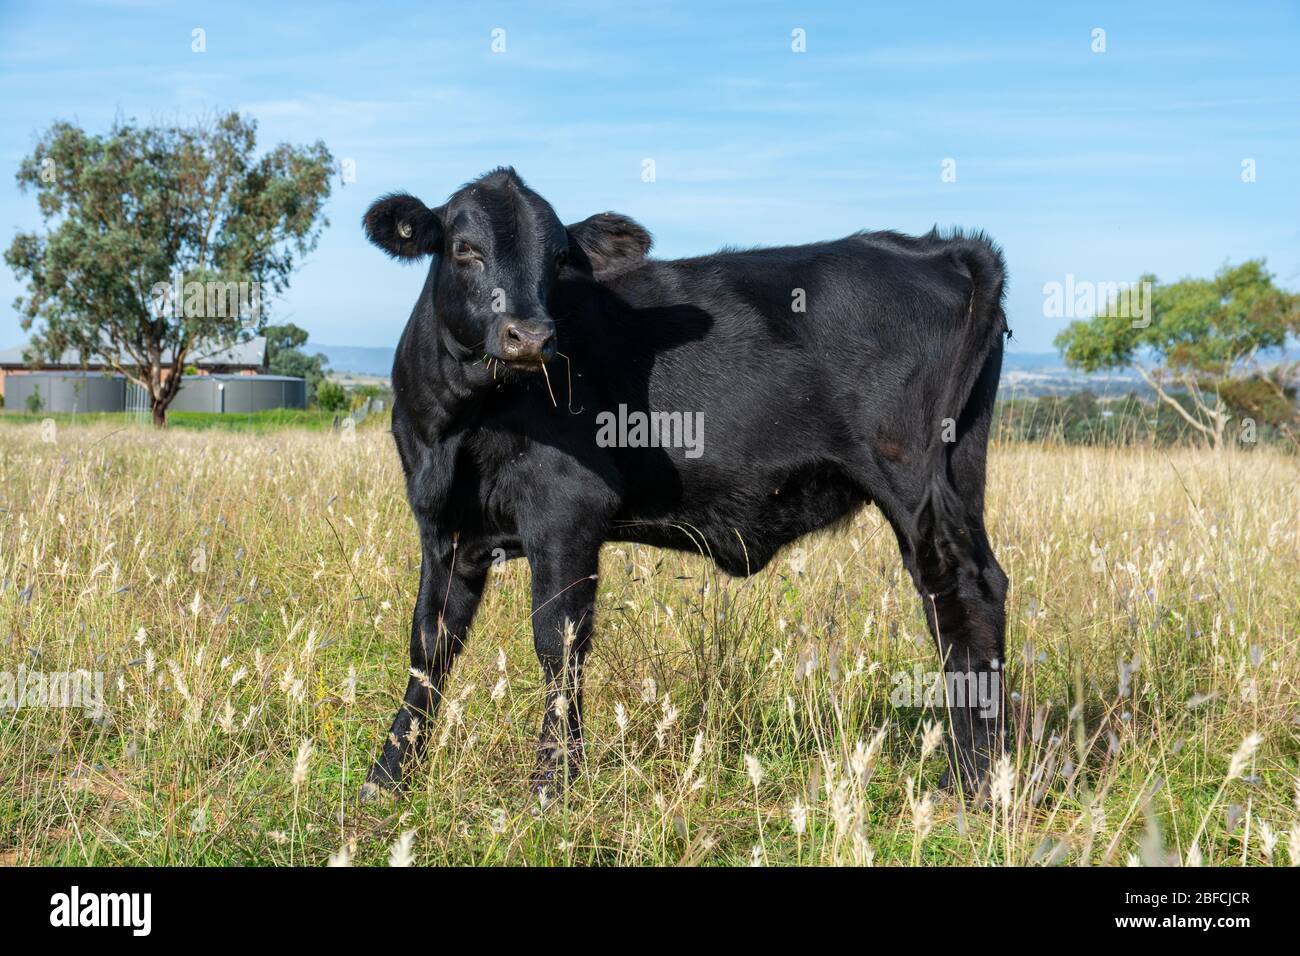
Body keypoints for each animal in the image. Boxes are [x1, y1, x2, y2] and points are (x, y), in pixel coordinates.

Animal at [361, 167, 1008, 796]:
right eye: (464, 248)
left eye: (559, 259)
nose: (533, 336)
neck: (458, 424)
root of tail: (940, 250)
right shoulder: (442, 525)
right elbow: (430, 642)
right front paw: (390, 772)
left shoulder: (566, 508)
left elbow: (558, 639)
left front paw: (554, 780)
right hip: (958, 467)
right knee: (980, 586)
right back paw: (989, 768)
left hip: (912, 476)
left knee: (957, 591)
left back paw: (968, 778)